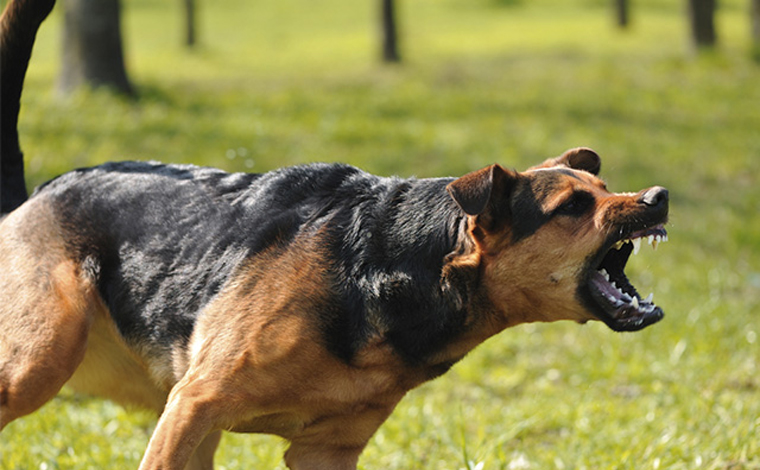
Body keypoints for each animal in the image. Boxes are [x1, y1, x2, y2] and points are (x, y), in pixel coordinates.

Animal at [0, 0, 664, 470]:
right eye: (574, 206)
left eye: (604, 187)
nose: (658, 198)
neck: (396, 267)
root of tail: (33, 196)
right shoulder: (194, 403)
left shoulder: (323, 450)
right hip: (40, 362)